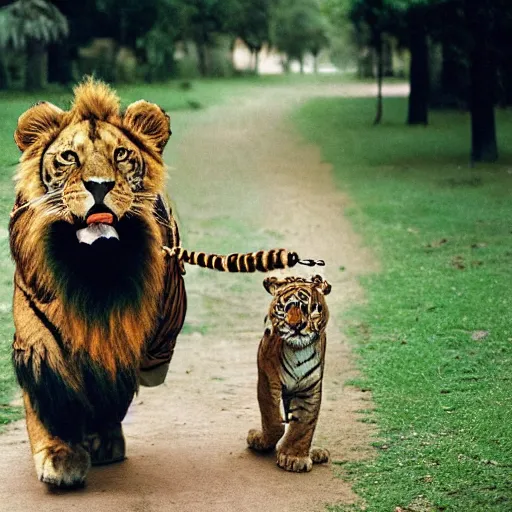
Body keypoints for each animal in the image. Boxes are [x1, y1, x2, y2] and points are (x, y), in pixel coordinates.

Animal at [10, 77, 187, 488]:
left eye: (121, 154)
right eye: (68, 158)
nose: (100, 186)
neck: (93, 269)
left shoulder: (126, 333)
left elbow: (112, 391)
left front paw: (101, 439)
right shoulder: (36, 334)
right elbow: (47, 392)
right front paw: (59, 454)